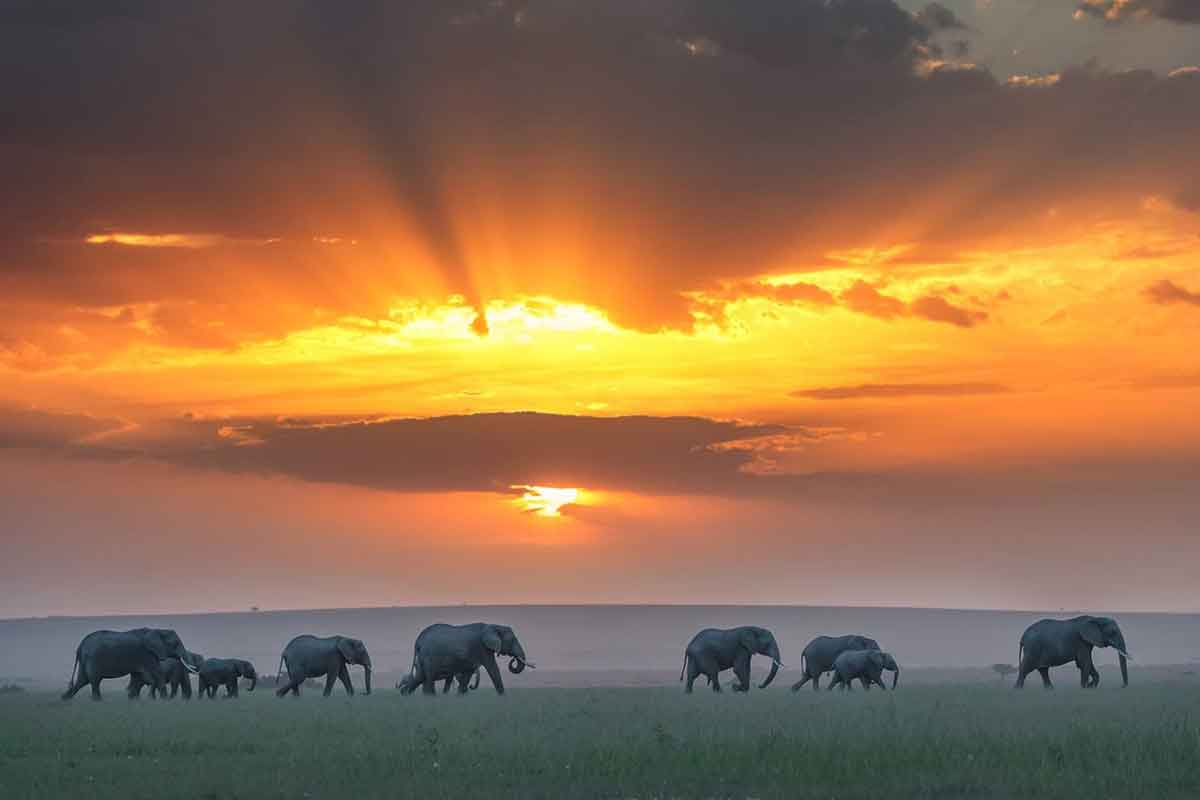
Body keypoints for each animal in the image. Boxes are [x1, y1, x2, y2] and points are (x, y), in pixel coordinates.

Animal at [63, 623, 196, 700]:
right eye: (176, 643)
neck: (158, 630)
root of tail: (80, 645)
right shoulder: (146, 654)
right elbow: (157, 673)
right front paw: (165, 701)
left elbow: (137, 676)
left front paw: (132, 700)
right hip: (93, 659)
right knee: (94, 681)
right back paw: (98, 701)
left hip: (85, 659)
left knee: (82, 680)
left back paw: (64, 700)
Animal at [398, 618, 535, 695]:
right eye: (512, 640)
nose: (514, 659)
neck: (492, 625)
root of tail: (418, 640)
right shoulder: (482, 647)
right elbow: (492, 668)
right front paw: (503, 697)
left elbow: (468, 673)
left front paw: (460, 696)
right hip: (430, 656)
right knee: (429, 676)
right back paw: (430, 697)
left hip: (423, 657)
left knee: (420, 676)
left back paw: (406, 695)